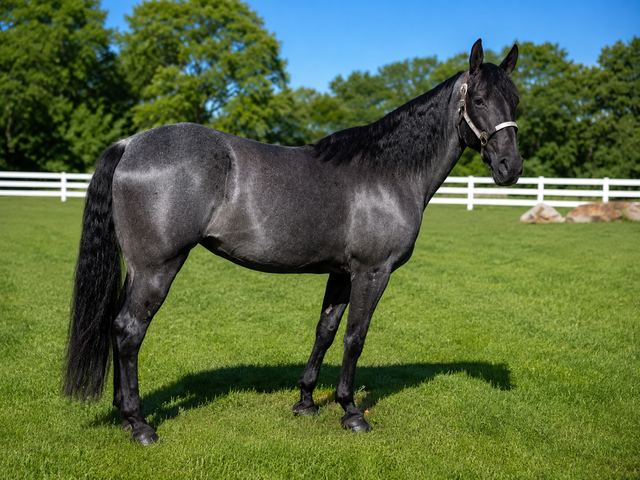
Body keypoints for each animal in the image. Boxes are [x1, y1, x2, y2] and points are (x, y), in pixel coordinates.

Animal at [64, 39, 522, 444]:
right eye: (479, 100)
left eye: (515, 101)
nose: (510, 167)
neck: (386, 173)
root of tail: (130, 144)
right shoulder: (372, 272)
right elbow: (356, 336)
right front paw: (351, 411)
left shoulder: (342, 273)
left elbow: (325, 331)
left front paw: (306, 401)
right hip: (158, 268)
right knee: (129, 330)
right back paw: (140, 425)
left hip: (138, 269)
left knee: (116, 326)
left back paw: (124, 415)